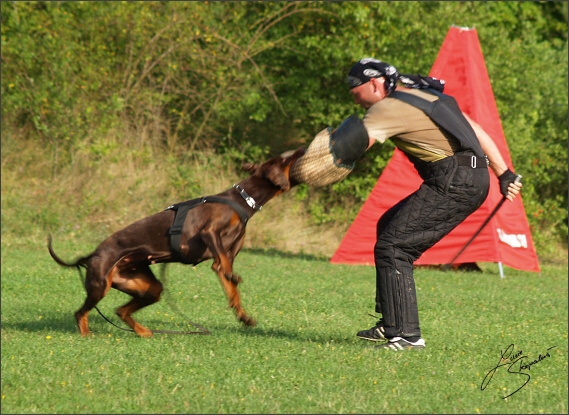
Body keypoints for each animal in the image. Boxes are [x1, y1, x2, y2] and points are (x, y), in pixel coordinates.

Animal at [47, 150, 306, 338]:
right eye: (286, 157)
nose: (302, 148)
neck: (243, 200)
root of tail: (92, 254)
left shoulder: (225, 255)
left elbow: (230, 285)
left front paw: (243, 315)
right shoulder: (209, 231)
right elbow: (224, 266)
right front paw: (234, 278)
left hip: (146, 286)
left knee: (120, 310)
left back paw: (142, 331)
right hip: (100, 284)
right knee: (80, 312)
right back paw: (87, 335)